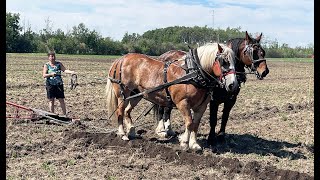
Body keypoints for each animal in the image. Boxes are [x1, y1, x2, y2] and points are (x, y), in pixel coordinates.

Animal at [105, 43, 238, 150]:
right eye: (224, 61)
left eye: (234, 62)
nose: (233, 85)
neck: (193, 73)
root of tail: (121, 59)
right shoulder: (182, 103)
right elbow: (189, 123)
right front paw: (184, 143)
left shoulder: (201, 106)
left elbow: (195, 124)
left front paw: (194, 144)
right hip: (123, 95)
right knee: (120, 112)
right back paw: (123, 134)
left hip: (136, 95)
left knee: (127, 111)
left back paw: (132, 131)